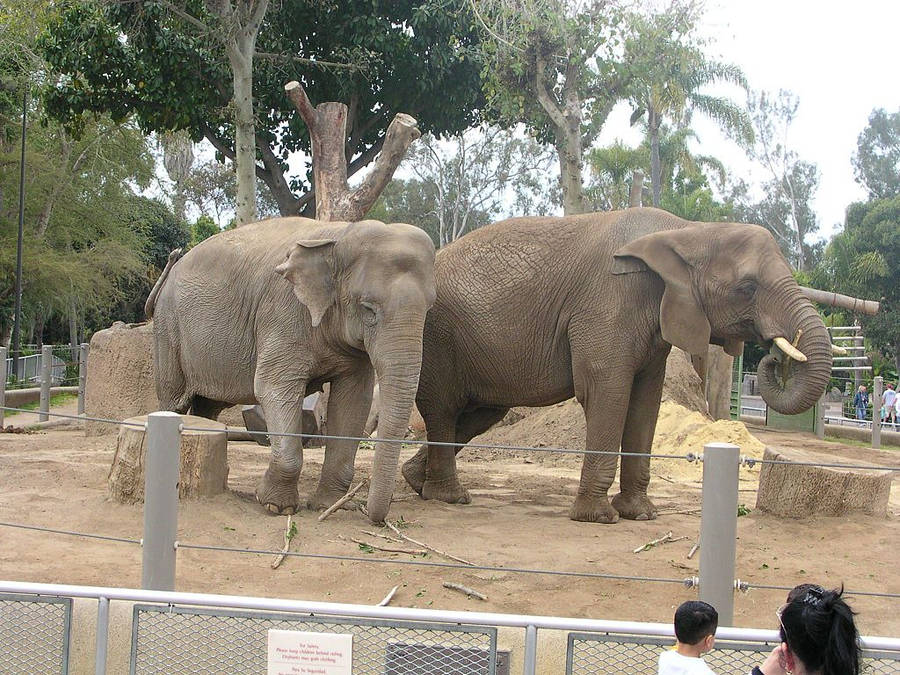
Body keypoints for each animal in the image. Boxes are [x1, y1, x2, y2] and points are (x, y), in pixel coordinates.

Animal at [145, 217, 436, 522]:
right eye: (368, 309)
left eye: (430, 308)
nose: (375, 518)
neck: (339, 236)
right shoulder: (282, 312)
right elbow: (273, 388)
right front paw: (276, 506)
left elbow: (353, 402)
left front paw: (330, 505)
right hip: (168, 329)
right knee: (174, 401)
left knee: (208, 406)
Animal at [401, 207, 833, 523]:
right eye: (747, 287)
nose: (776, 353)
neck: (687, 231)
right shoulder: (608, 305)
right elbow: (606, 393)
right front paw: (599, 517)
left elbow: (645, 403)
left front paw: (641, 515)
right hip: (434, 337)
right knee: (444, 410)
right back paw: (449, 497)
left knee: (478, 416)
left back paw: (416, 482)